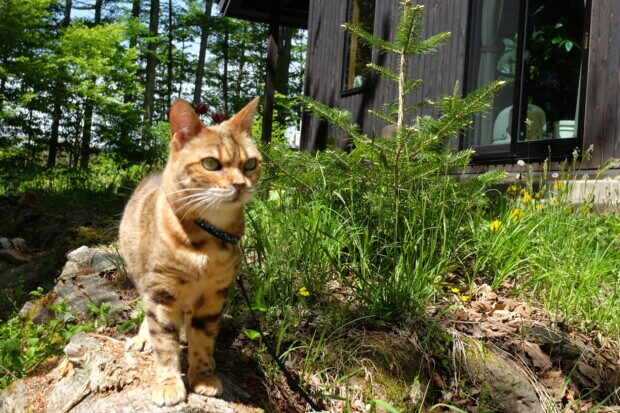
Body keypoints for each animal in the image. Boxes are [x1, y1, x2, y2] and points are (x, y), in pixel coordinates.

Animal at [119, 97, 262, 407]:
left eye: (250, 163)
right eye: (211, 163)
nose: (241, 185)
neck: (207, 242)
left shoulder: (214, 296)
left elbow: (203, 340)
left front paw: (203, 376)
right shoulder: (161, 292)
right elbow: (165, 343)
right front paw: (169, 383)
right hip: (141, 276)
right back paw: (144, 338)